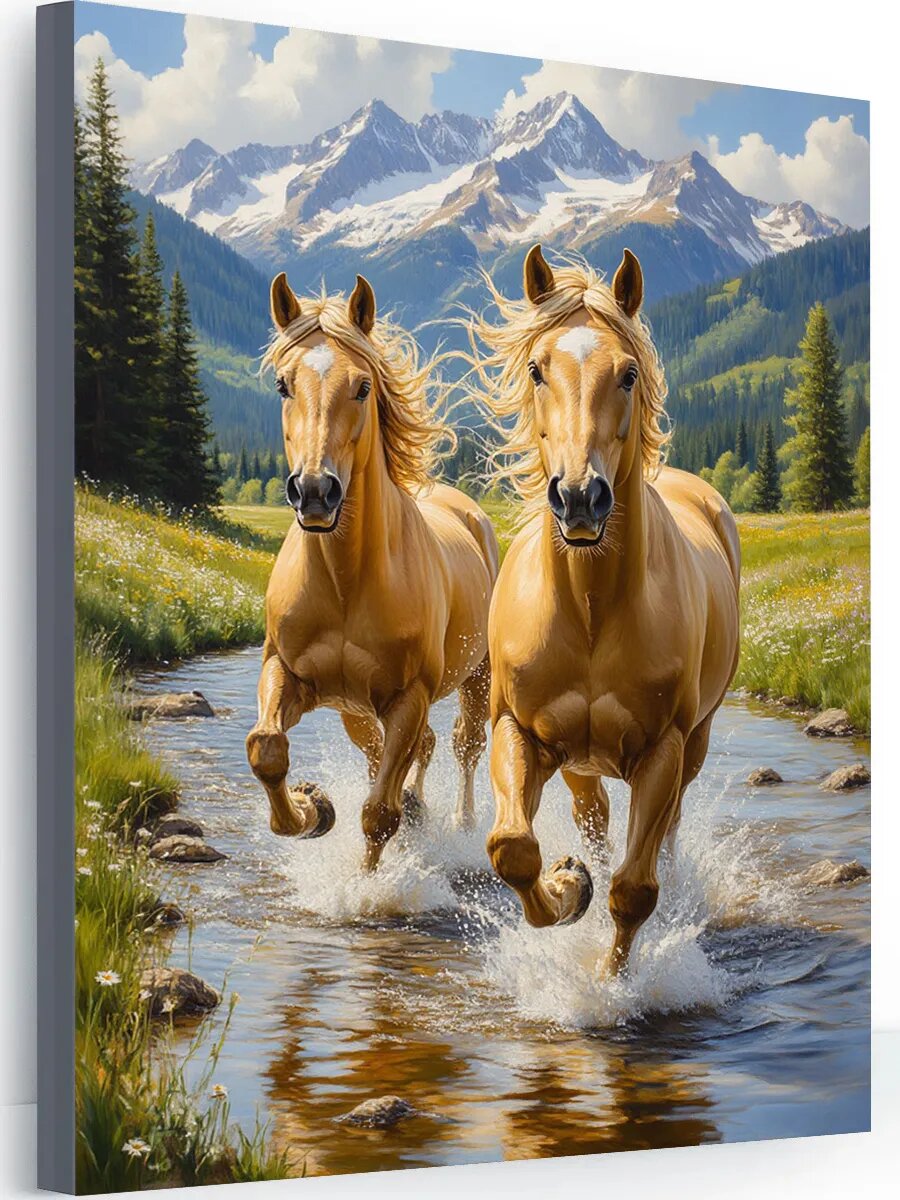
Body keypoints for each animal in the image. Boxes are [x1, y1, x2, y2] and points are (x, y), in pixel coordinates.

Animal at [246, 272, 499, 872]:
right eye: (283, 385)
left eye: (362, 387)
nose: (315, 492)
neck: (345, 581)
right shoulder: (286, 671)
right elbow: (267, 749)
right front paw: (310, 810)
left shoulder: (407, 698)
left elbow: (378, 814)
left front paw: (368, 884)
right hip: (355, 710)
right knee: (402, 753)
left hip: (475, 679)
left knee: (462, 745)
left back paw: (461, 821)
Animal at [469, 245, 740, 975]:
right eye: (538, 368)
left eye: (627, 373)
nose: (580, 498)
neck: (590, 609)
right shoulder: (519, 731)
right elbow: (512, 848)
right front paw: (568, 889)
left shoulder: (662, 753)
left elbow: (634, 891)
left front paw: (607, 983)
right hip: (581, 764)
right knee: (591, 820)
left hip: (694, 743)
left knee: (665, 838)